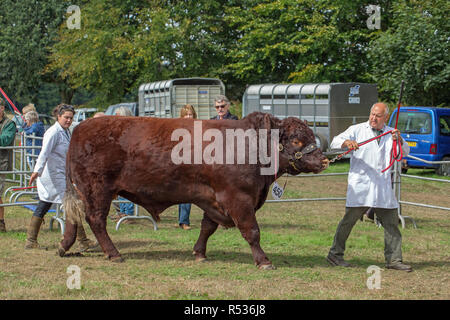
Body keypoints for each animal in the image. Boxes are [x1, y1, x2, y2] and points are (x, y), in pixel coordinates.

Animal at [59, 111, 326, 268]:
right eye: (296, 140)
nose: (323, 160)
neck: (250, 145)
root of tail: (81, 128)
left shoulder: (213, 198)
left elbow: (207, 227)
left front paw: (199, 253)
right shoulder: (237, 198)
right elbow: (252, 231)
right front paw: (264, 261)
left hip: (85, 191)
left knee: (74, 216)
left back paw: (65, 246)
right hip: (97, 190)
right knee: (95, 220)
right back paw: (113, 253)